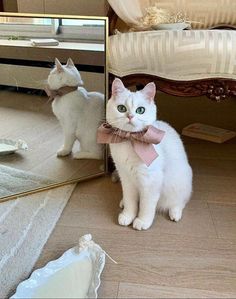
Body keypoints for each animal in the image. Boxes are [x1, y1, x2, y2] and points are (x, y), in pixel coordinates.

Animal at [106, 78, 193, 231]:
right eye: (121, 108)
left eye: (140, 110)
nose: (130, 116)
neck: (130, 141)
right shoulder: (126, 178)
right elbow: (130, 201)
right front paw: (127, 216)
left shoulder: (150, 181)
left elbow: (146, 205)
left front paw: (142, 221)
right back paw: (122, 203)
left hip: (179, 184)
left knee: (179, 202)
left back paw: (175, 213)